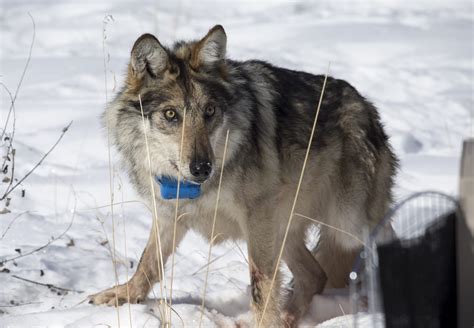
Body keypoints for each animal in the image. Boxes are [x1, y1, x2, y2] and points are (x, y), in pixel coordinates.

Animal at [88, 24, 396, 326]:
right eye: (171, 114)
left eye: (210, 111)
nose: (202, 168)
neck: (195, 187)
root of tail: (369, 110)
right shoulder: (168, 215)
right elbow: (148, 262)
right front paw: (124, 296)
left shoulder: (257, 221)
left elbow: (261, 284)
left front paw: (265, 323)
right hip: (288, 229)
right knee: (315, 275)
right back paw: (289, 317)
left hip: (345, 223)